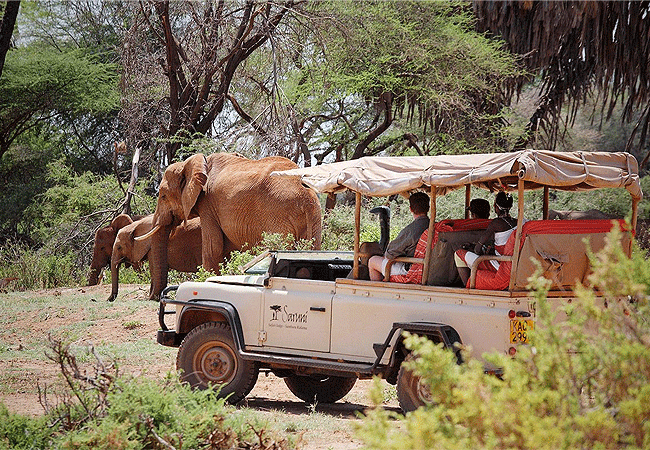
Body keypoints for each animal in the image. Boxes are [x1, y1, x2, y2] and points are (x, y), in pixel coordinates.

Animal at [138, 152, 320, 298]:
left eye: (162, 196)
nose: (153, 296)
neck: (194, 163)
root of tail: (305, 193)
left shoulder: (208, 205)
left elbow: (214, 247)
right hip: (313, 218)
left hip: (277, 214)